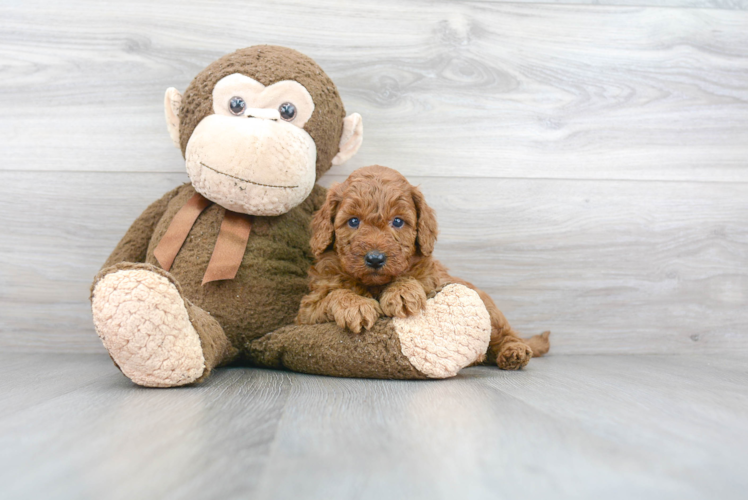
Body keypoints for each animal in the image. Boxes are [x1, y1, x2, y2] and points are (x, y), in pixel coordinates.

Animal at [296, 166, 548, 370]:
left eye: (398, 221)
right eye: (353, 221)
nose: (375, 259)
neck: (375, 285)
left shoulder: (433, 280)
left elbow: (415, 280)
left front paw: (402, 292)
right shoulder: (307, 312)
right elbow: (334, 294)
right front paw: (355, 305)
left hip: (489, 310)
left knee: (504, 335)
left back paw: (513, 351)